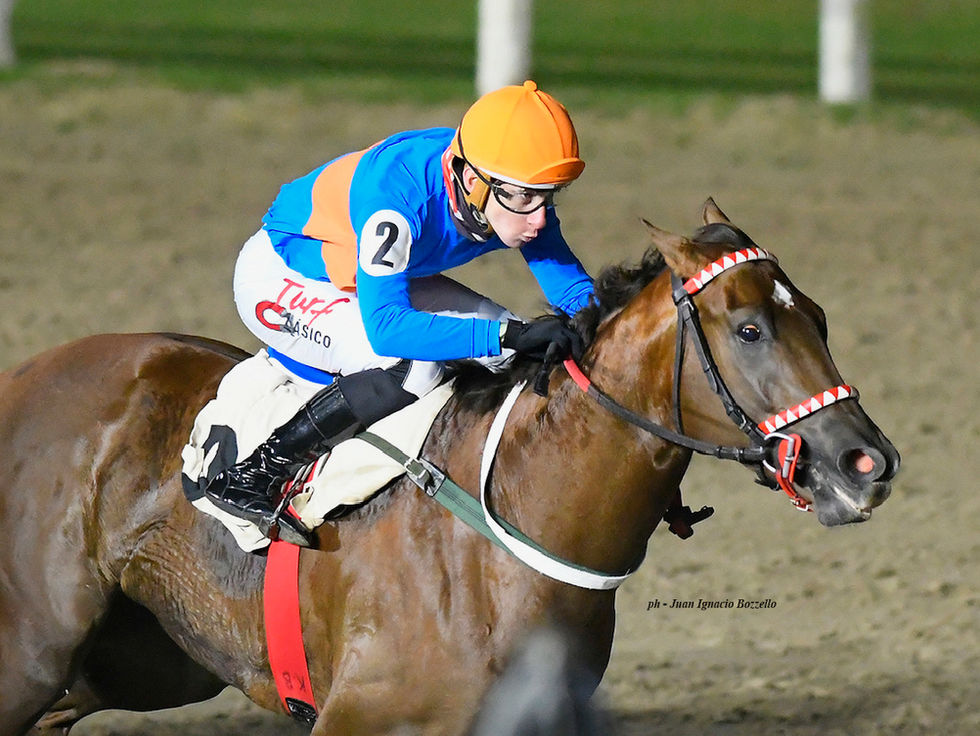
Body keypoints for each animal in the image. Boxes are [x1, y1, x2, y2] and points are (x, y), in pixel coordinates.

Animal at [0, 200, 899, 736]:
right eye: (749, 329)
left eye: (818, 316)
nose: (866, 461)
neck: (505, 544)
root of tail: (26, 374)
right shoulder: (361, 719)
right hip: (32, 656)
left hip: (136, 663)